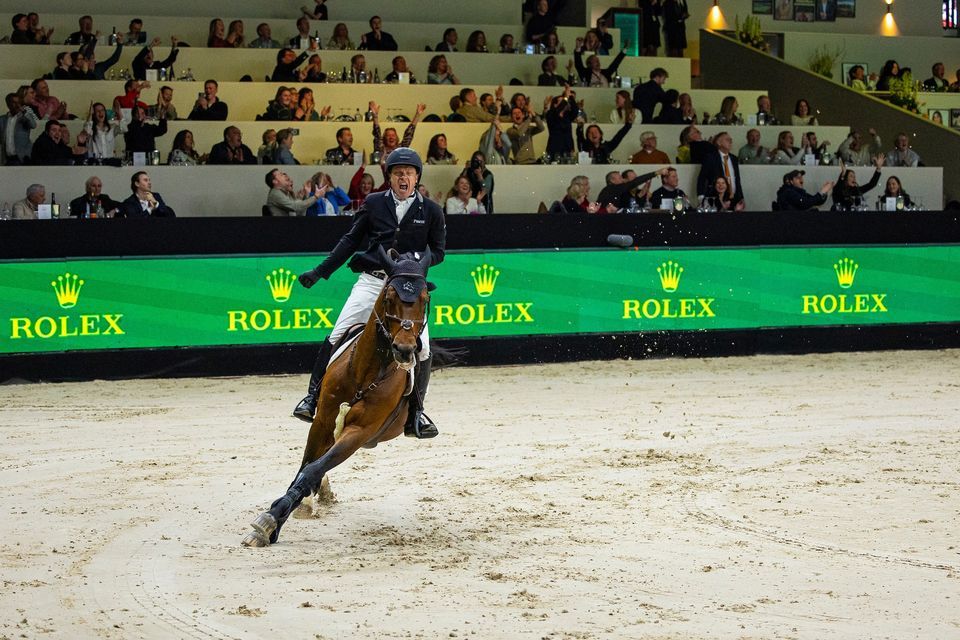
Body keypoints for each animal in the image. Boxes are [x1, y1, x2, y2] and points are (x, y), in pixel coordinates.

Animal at [242, 248, 434, 548]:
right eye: (389, 297)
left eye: (425, 300)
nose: (404, 350)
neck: (363, 374)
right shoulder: (322, 422)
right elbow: (306, 467)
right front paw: (275, 520)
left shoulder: (358, 432)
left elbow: (312, 470)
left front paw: (271, 520)